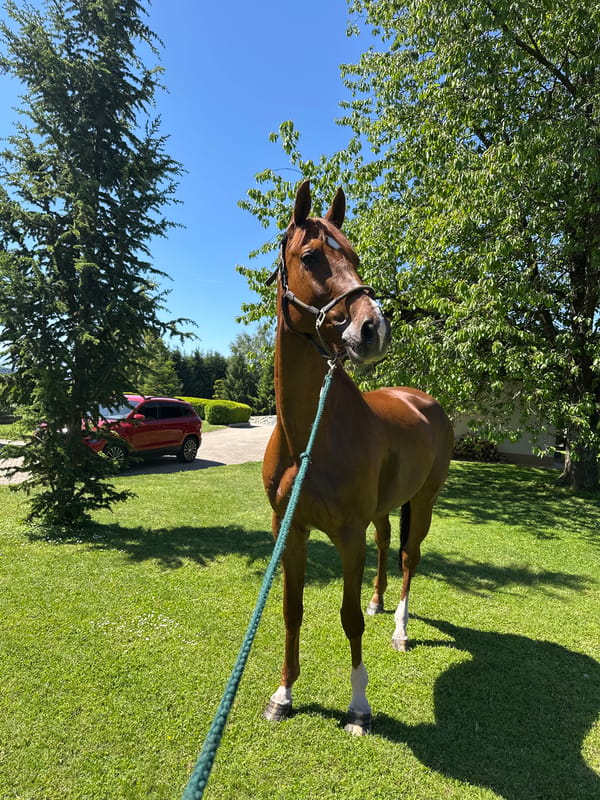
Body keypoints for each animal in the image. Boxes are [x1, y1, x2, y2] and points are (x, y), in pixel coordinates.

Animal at [262, 181, 453, 735]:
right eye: (311, 256)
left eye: (354, 256)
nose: (374, 328)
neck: (308, 437)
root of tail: (423, 399)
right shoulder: (291, 530)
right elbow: (293, 610)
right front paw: (283, 694)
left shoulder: (347, 536)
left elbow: (347, 619)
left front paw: (359, 708)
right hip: (387, 509)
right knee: (388, 542)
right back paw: (378, 600)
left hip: (424, 502)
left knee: (410, 557)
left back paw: (400, 628)